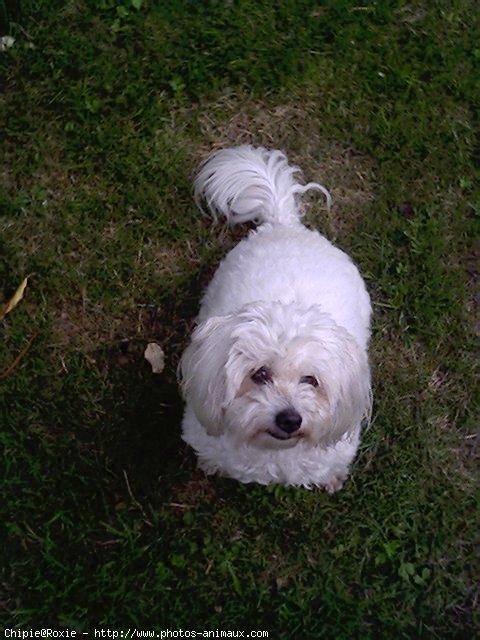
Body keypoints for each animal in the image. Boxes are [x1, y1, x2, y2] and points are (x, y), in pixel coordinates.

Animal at [180, 148, 372, 492]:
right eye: (259, 374)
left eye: (311, 380)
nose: (290, 419)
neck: (272, 452)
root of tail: (286, 224)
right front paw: (210, 465)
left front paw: (333, 478)